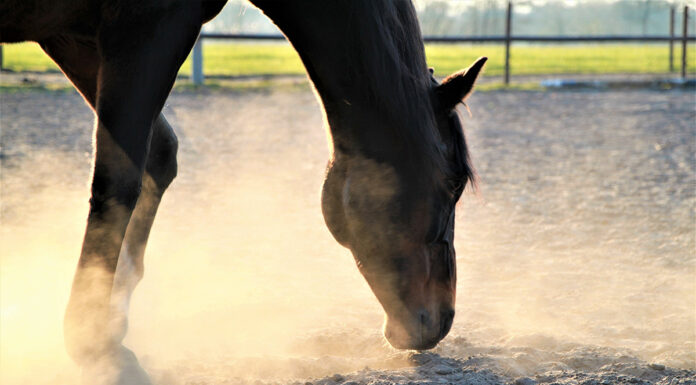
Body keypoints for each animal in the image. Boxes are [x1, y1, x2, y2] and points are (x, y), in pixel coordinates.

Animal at [2, 1, 486, 382]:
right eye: (453, 182)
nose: (441, 321)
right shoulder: (146, 28)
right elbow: (119, 178)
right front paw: (93, 344)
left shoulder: (73, 36)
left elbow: (157, 156)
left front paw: (112, 315)